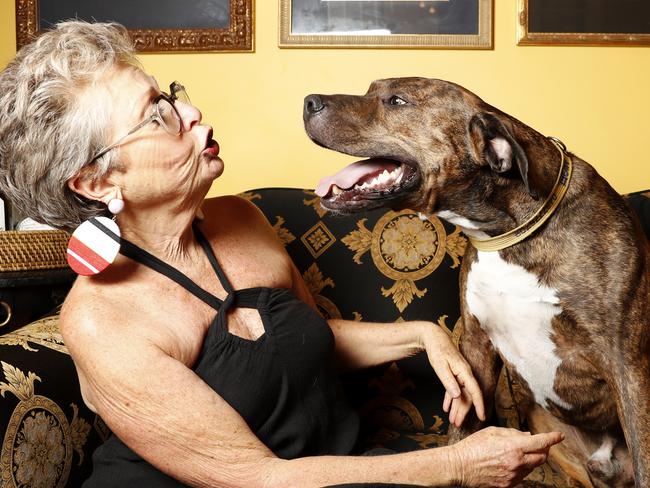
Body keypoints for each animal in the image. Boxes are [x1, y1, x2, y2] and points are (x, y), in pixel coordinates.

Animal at [304, 78, 648, 486]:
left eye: (397, 101)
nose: (308, 101)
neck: (510, 233)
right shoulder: (475, 353)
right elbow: (464, 432)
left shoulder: (628, 366)